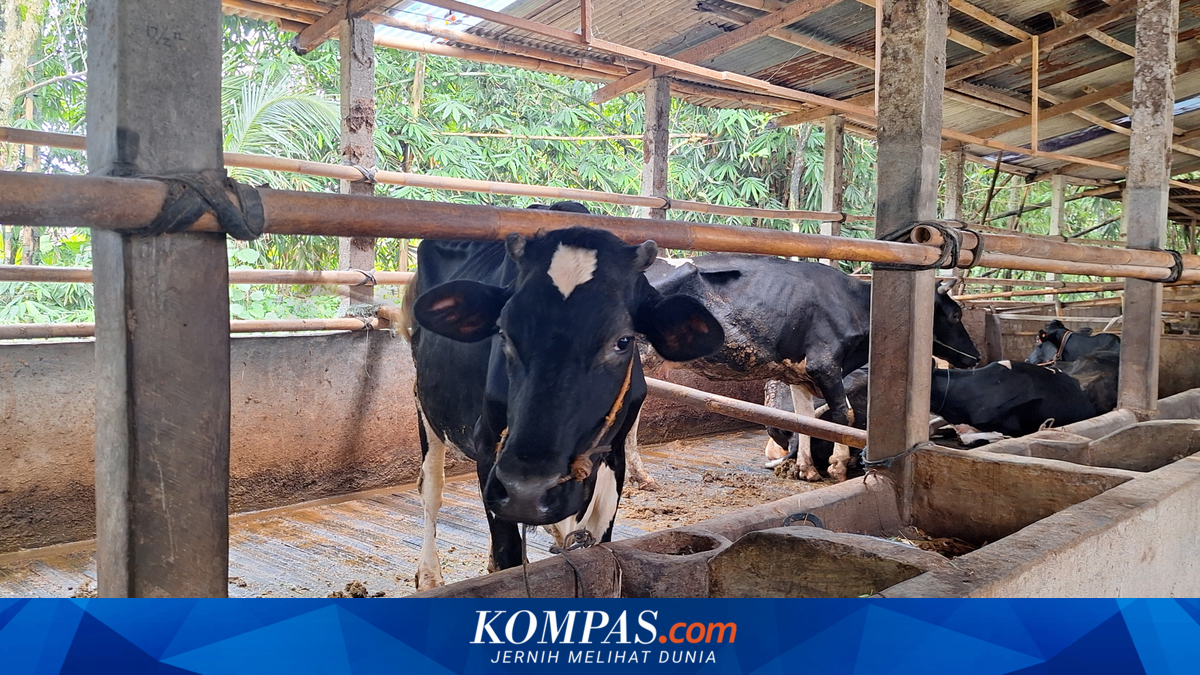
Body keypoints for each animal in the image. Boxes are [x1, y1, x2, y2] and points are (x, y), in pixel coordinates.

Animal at [400, 208, 724, 590]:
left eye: (623, 340)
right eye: (503, 332)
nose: (528, 490)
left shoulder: (613, 456)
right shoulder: (489, 449)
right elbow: (510, 561)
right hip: (425, 404)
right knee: (431, 487)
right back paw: (429, 575)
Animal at [639, 253, 980, 482]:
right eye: (955, 315)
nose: (975, 357)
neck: (854, 303)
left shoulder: (798, 375)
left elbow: (804, 419)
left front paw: (807, 468)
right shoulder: (825, 363)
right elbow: (844, 415)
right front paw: (837, 465)